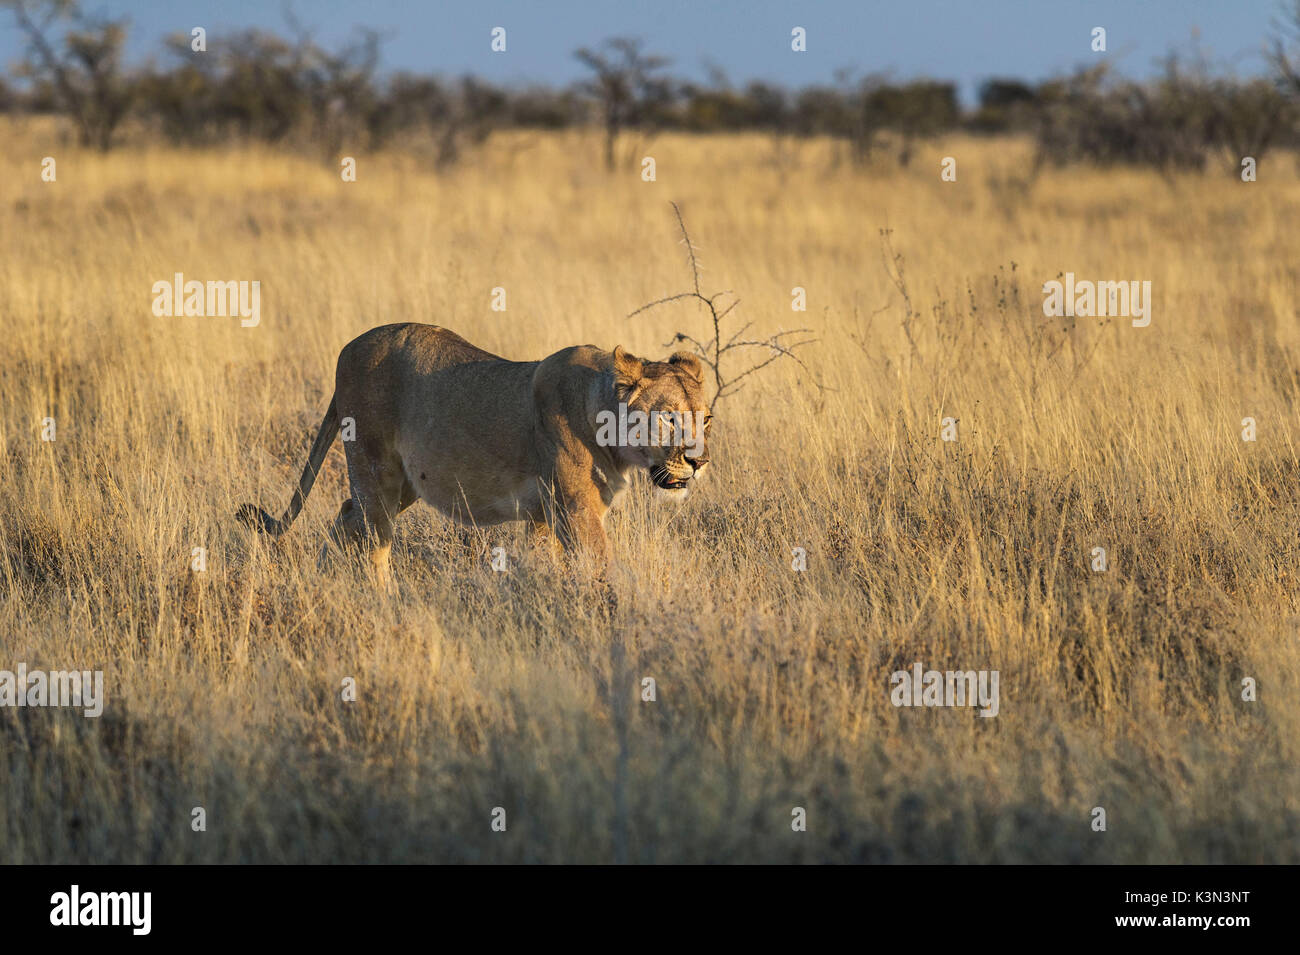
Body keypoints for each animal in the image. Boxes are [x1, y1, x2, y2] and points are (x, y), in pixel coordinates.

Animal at [237, 323, 713, 580]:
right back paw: (383, 606)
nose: (699, 461)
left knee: (346, 515)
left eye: (706, 420)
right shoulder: (577, 510)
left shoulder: (544, 515)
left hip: (405, 483)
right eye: (669, 419)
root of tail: (349, 347)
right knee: (372, 543)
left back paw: (325, 584)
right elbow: (601, 571)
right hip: (374, 468)